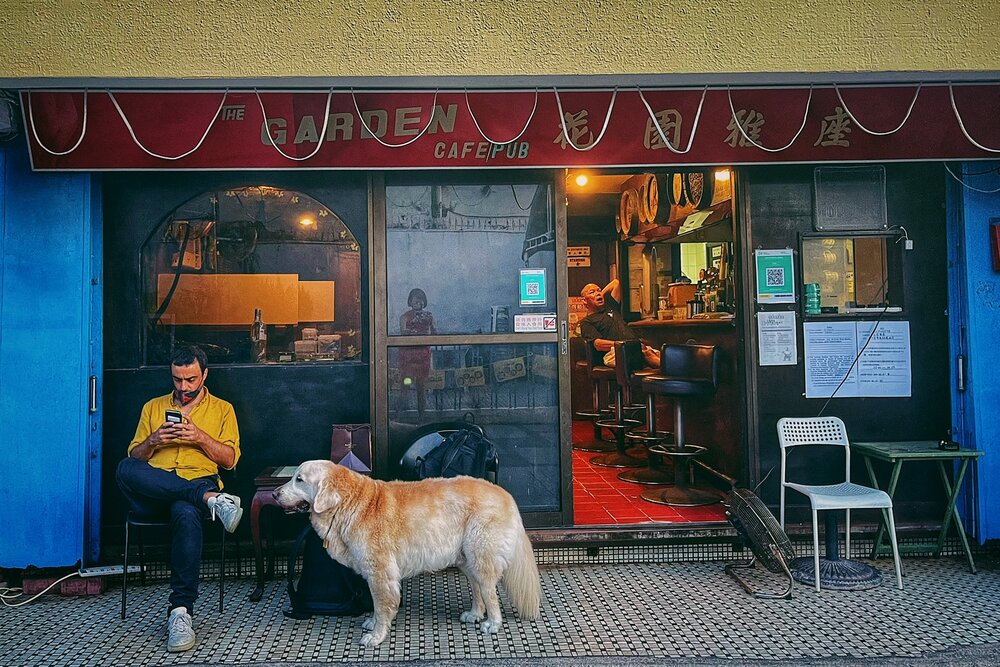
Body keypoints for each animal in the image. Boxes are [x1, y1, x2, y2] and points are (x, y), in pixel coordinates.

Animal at [272, 462, 540, 644]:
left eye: (299, 479)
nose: (274, 494)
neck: (349, 504)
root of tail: (505, 494)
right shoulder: (373, 572)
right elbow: (376, 606)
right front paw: (372, 623)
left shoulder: (381, 572)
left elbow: (381, 605)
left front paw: (376, 636)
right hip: (467, 559)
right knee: (478, 589)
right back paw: (475, 614)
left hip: (480, 555)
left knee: (489, 592)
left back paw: (492, 624)